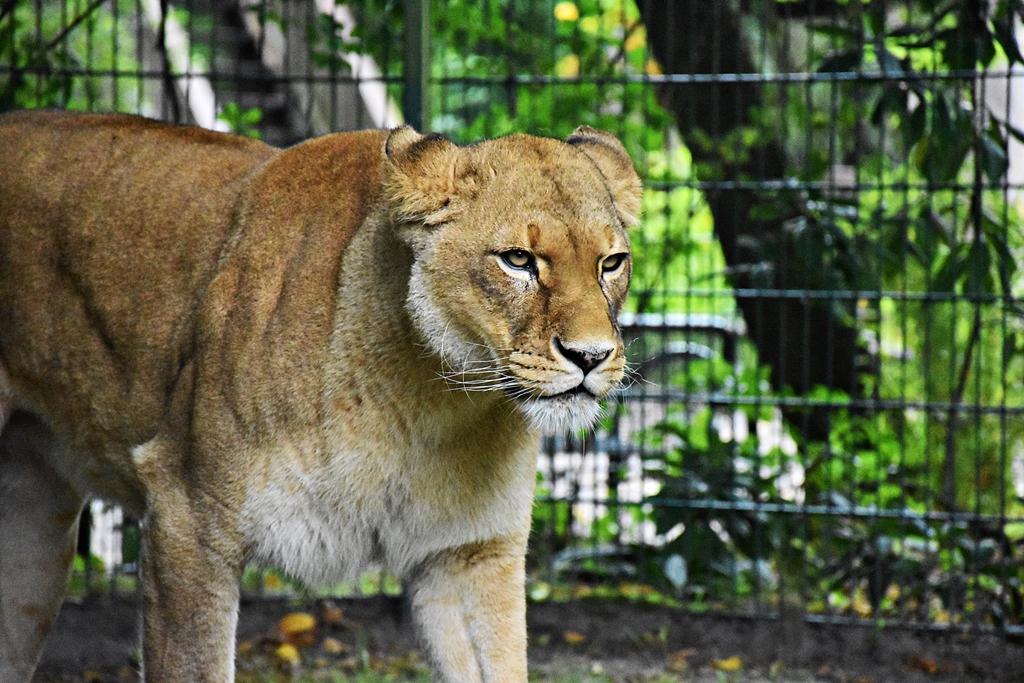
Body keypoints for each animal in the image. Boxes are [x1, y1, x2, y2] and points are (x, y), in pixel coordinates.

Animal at [0, 109, 640, 682]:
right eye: (518, 260)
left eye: (612, 263)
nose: (591, 357)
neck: (428, 402)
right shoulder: (188, 522)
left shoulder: (468, 556)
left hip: (33, 538)